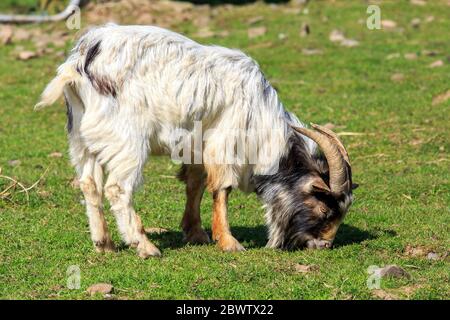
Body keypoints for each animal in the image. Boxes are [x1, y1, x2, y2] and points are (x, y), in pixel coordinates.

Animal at [36, 23, 358, 258]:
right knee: (117, 188)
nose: (323, 245)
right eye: (325, 208)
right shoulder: (226, 141)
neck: (261, 113)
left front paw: (196, 233)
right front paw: (228, 241)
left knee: (89, 184)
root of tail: (81, 61)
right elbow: (222, 188)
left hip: (82, 138)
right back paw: (144, 246)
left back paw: (105, 244)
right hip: (126, 140)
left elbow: (196, 184)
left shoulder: (196, 145)